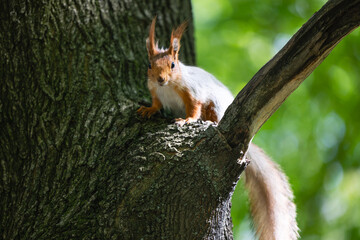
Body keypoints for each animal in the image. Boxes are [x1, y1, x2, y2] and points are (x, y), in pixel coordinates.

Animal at [137, 17, 298, 239]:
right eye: (149, 65)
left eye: (172, 64)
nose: (161, 79)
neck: (167, 88)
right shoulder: (155, 92)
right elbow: (156, 104)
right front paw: (148, 110)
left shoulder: (192, 92)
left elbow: (194, 107)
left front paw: (186, 120)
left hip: (215, 105)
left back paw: (211, 122)